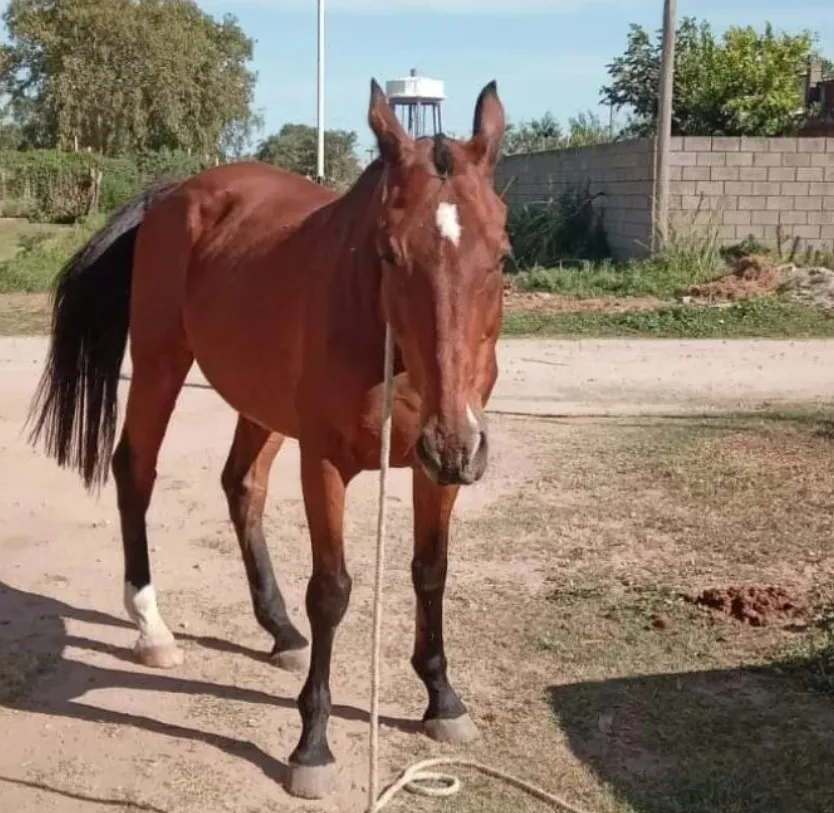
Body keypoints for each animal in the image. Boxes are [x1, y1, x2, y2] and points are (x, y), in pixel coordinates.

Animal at [27, 77, 509, 799]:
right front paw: (312, 744)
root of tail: (175, 192)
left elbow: (431, 573)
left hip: (263, 404)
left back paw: (280, 629)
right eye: (389, 252)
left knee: (241, 485)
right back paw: (152, 627)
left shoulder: (434, 469)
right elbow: (332, 591)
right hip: (162, 365)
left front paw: (442, 699)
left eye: (503, 255)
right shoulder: (325, 462)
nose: (455, 442)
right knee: (136, 470)